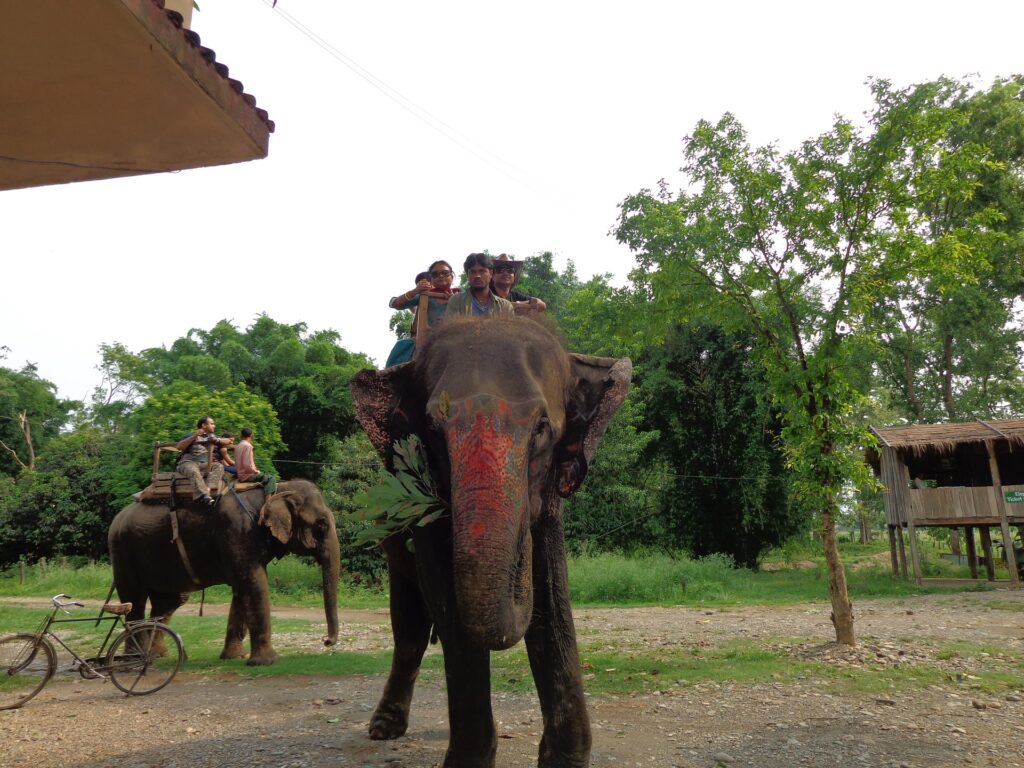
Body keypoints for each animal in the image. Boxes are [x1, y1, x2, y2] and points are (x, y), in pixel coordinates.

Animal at [107, 479, 339, 665]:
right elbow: (254, 583)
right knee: (134, 600)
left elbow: (242, 588)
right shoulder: (237, 531)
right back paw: (135, 658)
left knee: (168, 602)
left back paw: (158, 655)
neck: (276, 489)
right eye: (321, 524)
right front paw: (267, 662)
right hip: (122, 550)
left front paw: (234, 657)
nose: (326, 641)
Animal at [351, 316, 631, 768]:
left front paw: (563, 759)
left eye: (542, 428)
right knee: (409, 630)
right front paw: (469, 759)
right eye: (432, 429)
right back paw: (383, 730)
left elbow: (552, 597)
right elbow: (448, 601)